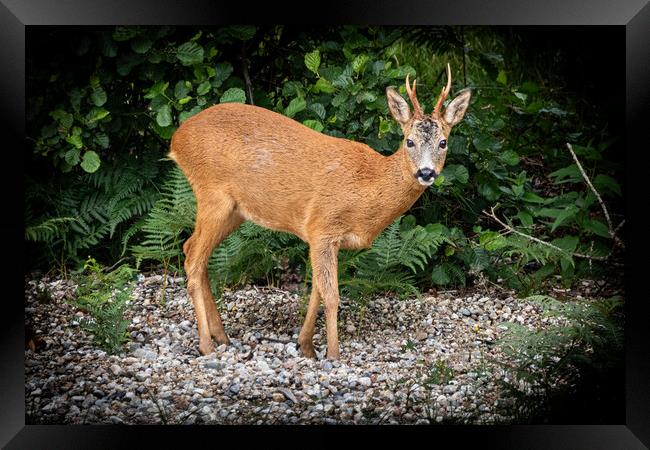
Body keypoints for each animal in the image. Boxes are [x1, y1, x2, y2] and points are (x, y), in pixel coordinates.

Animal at [170, 63, 468, 360]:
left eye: (443, 142)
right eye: (409, 141)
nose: (426, 172)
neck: (368, 189)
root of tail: (177, 139)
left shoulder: (322, 239)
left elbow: (316, 290)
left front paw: (307, 346)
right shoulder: (323, 226)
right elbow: (332, 295)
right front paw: (333, 354)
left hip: (234, 211)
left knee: (191, 249)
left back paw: (221, 336)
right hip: (213, 195)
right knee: (193, 259)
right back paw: (206, 345)